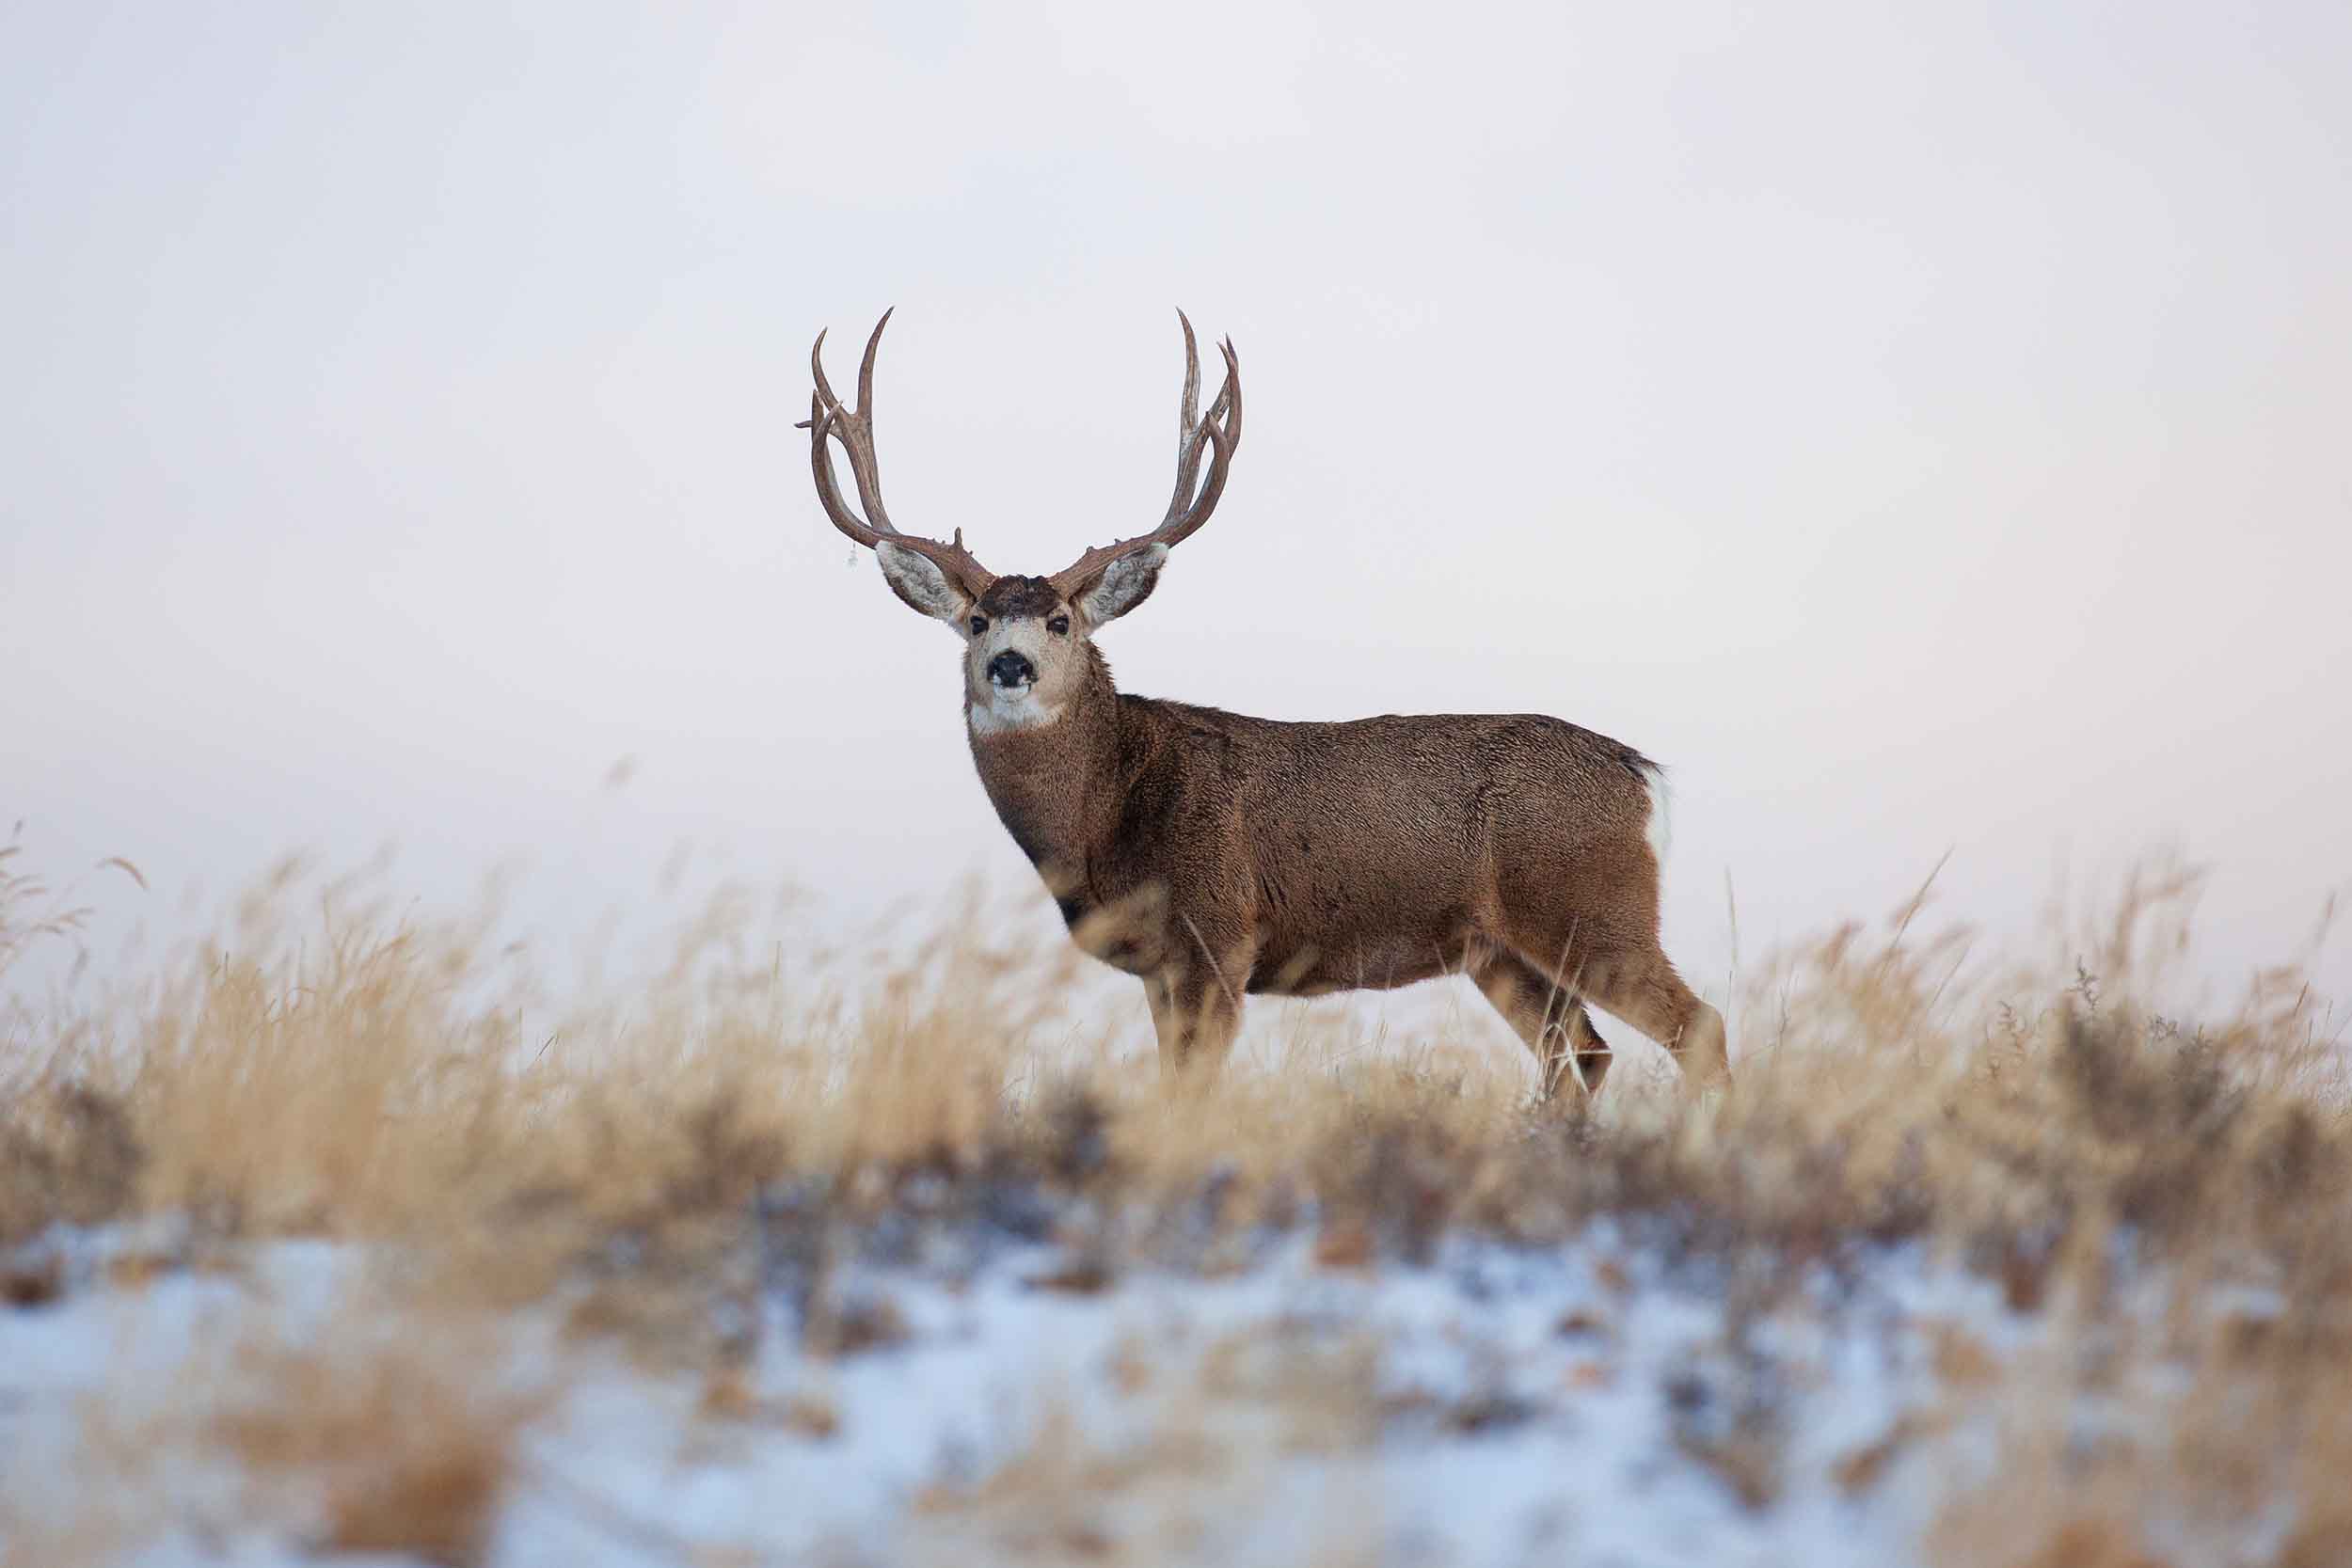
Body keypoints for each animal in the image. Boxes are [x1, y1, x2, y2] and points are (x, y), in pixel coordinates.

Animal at [798, 311, 1729, 1098]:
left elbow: (1192, 1092)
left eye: (1062, 619)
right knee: (1584, 1054)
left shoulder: (1219, 936)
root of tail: (1643, 775)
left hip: (1593, 907)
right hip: (1499, 948)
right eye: (978, 620)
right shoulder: (1162, 968)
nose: (1011, 665)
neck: (1109, 812)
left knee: (1698, 1028)